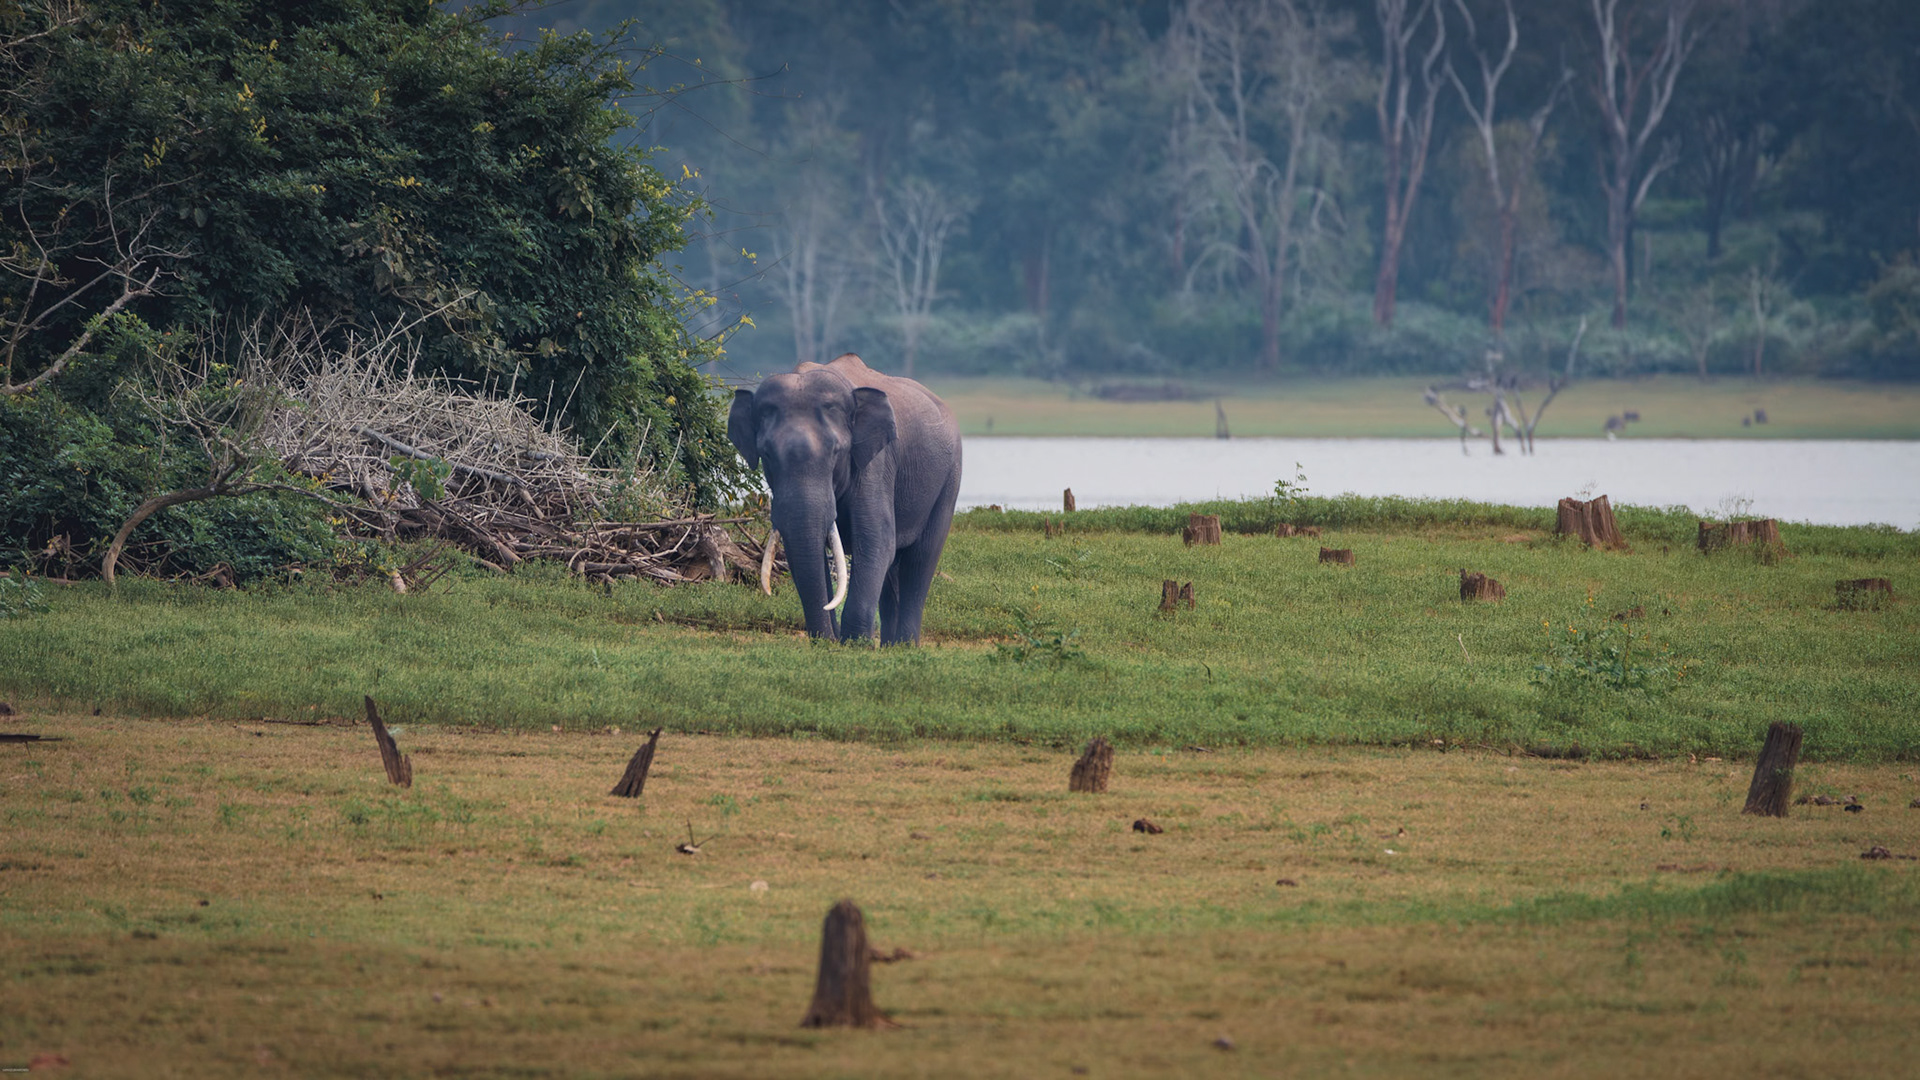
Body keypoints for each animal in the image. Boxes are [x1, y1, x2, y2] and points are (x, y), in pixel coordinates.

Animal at [728, 353, 962, 645]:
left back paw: (904, 645)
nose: (827, 640)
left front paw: (855, 645)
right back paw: (889, 647)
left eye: (837, 451)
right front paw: (830, 641)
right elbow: (804, 550)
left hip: (950, 478)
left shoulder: (876, 463)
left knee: (921, 558)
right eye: (767, 453)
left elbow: (876, 540)